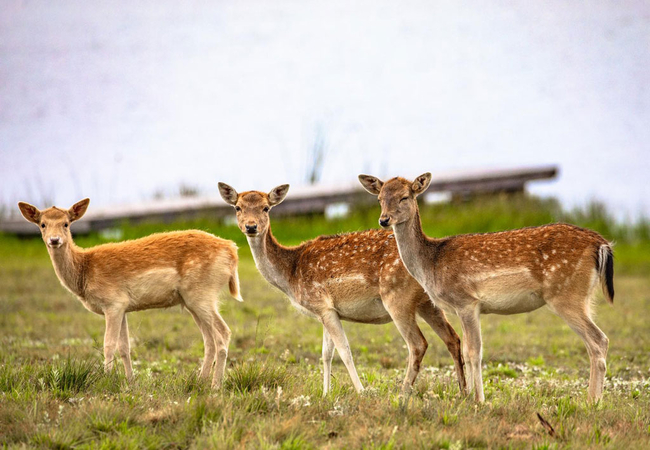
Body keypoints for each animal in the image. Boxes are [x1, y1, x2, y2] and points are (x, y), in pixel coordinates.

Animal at [18, 198, 243, 389]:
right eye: (42, 224)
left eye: (66, 223)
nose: (54, 240)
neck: (84, 272)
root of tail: (232, 251)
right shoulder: (123, 308)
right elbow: (124, 347)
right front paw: (130, 382)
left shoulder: (113, 303)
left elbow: (108, 344)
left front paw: (105, 381)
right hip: (191, 302)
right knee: (209, 340)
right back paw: (200, 382)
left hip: (202, 295)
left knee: (223, 333)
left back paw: (215, 386)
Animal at [218, 182, 466, 396]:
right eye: (238, 207)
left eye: (266, 207)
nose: (251, 226)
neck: (290, 274)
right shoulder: (327, 311)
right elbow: (326, 354)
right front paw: (325, 394)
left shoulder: (322, 304)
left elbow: (345, 351)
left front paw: (362, 391)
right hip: (426, 301)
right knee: (453, 338)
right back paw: (464, 391)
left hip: (398, 298)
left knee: (418, 344)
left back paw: (404, 393)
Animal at [359, 173, 615, 402]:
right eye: (379, 198)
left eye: (404, 197)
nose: (383, 220)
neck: (431, 263)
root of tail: (601, 244)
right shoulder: (463, 307)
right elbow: (465, 349)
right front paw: (468, 396)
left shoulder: (466, 300)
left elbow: (474, 352)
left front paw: (479, 400)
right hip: (584, 297)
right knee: (595, 341)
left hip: (566, 294)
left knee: (599, 340)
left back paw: (592, 402)